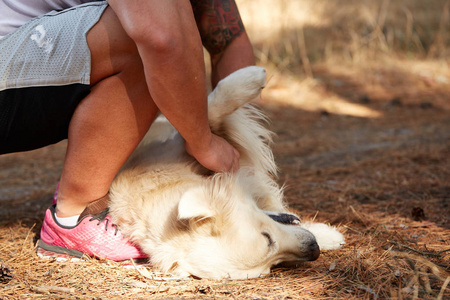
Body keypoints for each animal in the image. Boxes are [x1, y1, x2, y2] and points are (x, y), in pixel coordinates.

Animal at [108, 65, 344, 278]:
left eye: (267, 237)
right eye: (270, 267)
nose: (314, 250)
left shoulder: (186, 144)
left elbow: (210, 114)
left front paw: (249, 77)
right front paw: (327, 235)